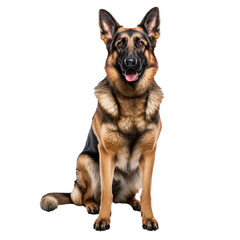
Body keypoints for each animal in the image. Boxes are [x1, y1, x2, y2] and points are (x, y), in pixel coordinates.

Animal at [40, 7, 163, 231]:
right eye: (120, 44)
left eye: (140, 44)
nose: (130, 63)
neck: (130, 98)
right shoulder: (105, 154)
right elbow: (106, 192)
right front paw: (103, 219)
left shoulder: (149, 154)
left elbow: (148, 192)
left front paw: (148, 217)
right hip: (86, 161)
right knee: (85, 197)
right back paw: (92, 205)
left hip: (136, 174)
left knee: (124, 197)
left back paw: (135, 202)